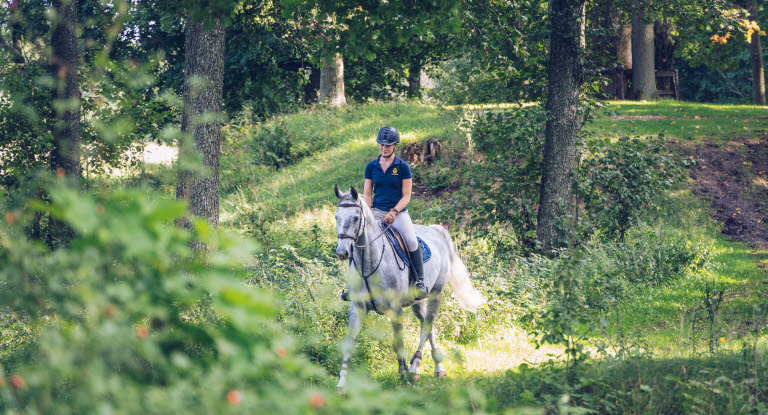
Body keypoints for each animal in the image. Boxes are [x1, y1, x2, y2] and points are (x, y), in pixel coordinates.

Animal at [332, 186, 484, 390]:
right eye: (336, 217)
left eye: (356, 218)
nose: (342, 252)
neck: (369, 264)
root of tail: (436, 231)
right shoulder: (357, 308)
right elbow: (348, 343)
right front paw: (341, 384)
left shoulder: (395, 309)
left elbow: (398, 342)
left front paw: (403, 373)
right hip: (417, 301)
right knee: (427, 326)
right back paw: (438, 368)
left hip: (436, 293)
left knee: (427, 326)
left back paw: (415, 367)